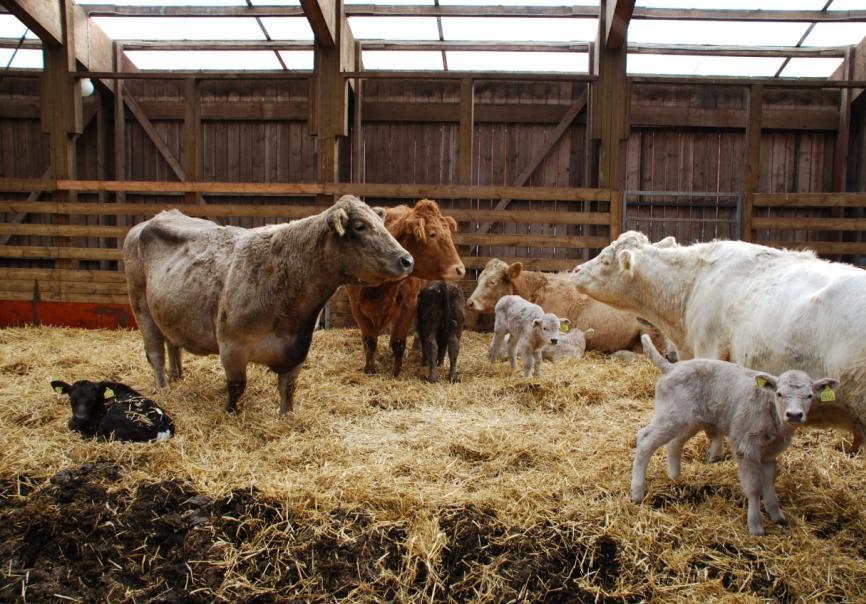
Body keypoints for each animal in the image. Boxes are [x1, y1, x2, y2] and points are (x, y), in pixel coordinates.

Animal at [122, 198, 416, 416]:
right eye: (360, 226)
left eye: (381, 223)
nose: (407, 260)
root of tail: (151, 220)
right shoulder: (232, 346)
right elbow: (236, 387)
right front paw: (230, 414)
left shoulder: (297, 350)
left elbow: (288, 388)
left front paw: (286, 415)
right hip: (141, 308)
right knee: (155, 353)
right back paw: (163, 387)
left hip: (169, 311)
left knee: (173, 344)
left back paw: (177, 376)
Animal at [346, 201, 466, 376]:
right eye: (432, 234)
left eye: (448, 234)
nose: (460, 269)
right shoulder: (357, 308)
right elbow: (370, 341)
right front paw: (369, 368)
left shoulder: (408, 305)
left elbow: (399, 341)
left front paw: (396, 372)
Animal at [628, 332, 836, 536]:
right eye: (779, 394)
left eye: (809, 396)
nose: (794, 414)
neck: (770, 412)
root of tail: (671, 367)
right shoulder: (745, 446)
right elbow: (754, 487)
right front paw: (756, 526)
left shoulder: (769, 453)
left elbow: (769, 482)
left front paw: (777, 515)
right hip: (670, 416)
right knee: (645, 440)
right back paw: (637, 492)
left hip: (689, 420)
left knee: (675, 443)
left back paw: (675, 478)